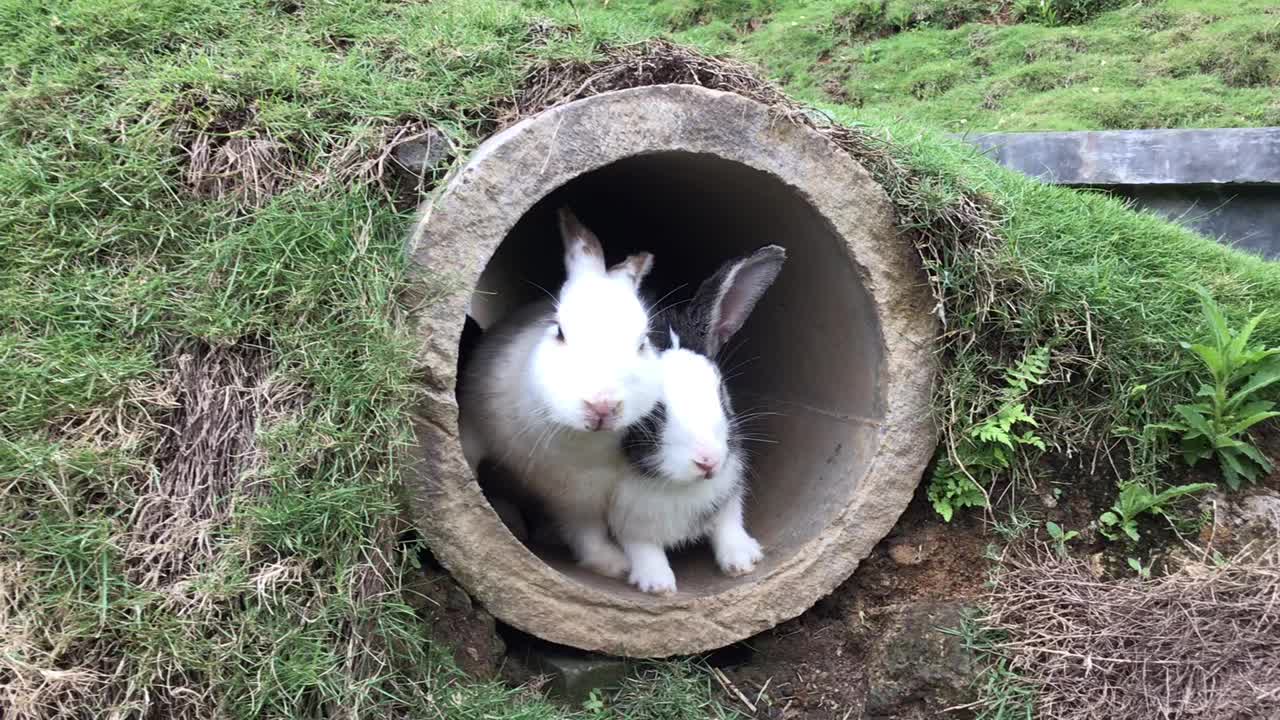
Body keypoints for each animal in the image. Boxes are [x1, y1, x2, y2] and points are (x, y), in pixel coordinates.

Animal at [458, 206, 660, 576]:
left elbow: (587, 534)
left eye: (643, 343)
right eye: (559, 332)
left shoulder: (581, 498)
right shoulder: (472, 427)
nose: (602, 407)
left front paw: (614, 565)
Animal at [611, 243, 783, 591]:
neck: (676, 484)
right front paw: (657, 584)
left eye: (720, 389)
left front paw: (742, 562)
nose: (708, 461)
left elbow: (729, 522)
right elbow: (640, 545)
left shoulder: (730, 486)